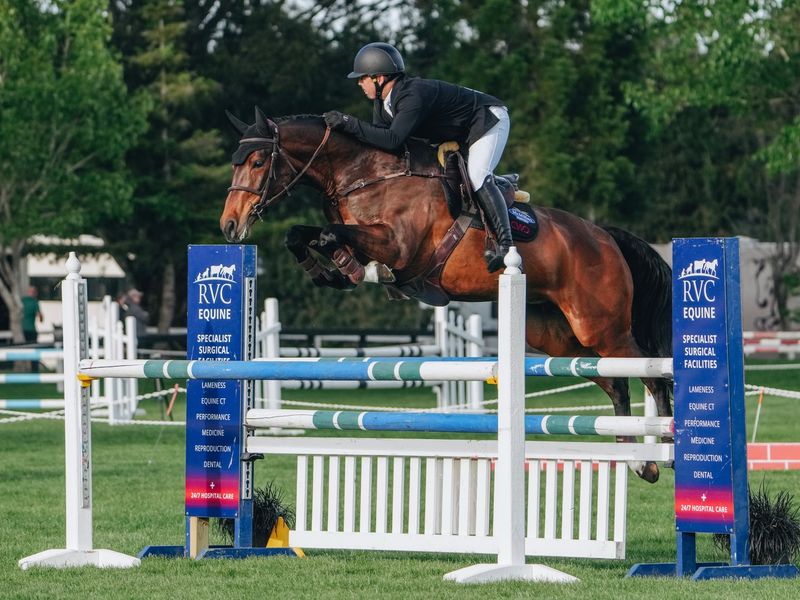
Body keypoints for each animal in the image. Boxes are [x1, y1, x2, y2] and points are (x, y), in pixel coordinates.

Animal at [220, 108, 673, 483]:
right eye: (236, 162)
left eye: (258, 162)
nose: (229, 226)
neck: (365, 175)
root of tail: (605, 237)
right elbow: (301, 234)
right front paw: (329, 272)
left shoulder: (398, 246)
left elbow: (336, 237)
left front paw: (359, 270)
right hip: (559, 336)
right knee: (615, 383)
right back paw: (638, 462)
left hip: (602, 327)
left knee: (654, 374)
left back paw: (665, 452)